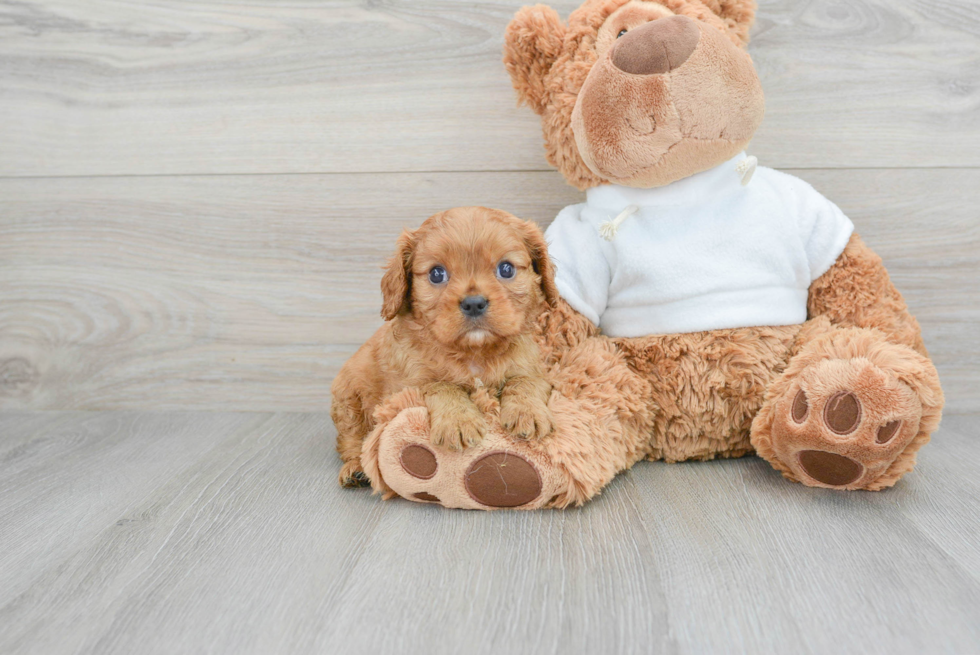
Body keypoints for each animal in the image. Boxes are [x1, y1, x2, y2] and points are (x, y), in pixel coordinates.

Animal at [332, 205, 556, 486]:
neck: (475, 352)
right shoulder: (408, 385)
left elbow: (524, 381)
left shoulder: (535, 367)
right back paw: (356, 469)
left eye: (506, 269)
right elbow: (443, 386)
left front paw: (527, 414)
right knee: (351, 438)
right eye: (436, 274)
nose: (474, 303)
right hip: (348, 399)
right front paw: (458, 422)